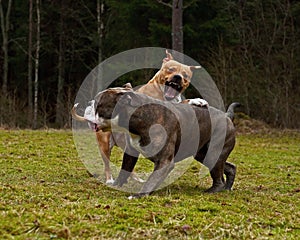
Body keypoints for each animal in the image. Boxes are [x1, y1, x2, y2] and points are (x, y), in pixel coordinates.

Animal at [71, 49, 202, 183]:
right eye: (171, 69)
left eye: (185, 75)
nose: (178, 77)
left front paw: (196, 101)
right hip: (105, 143)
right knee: (107, 163)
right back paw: (110, 179)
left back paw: (136, 179)